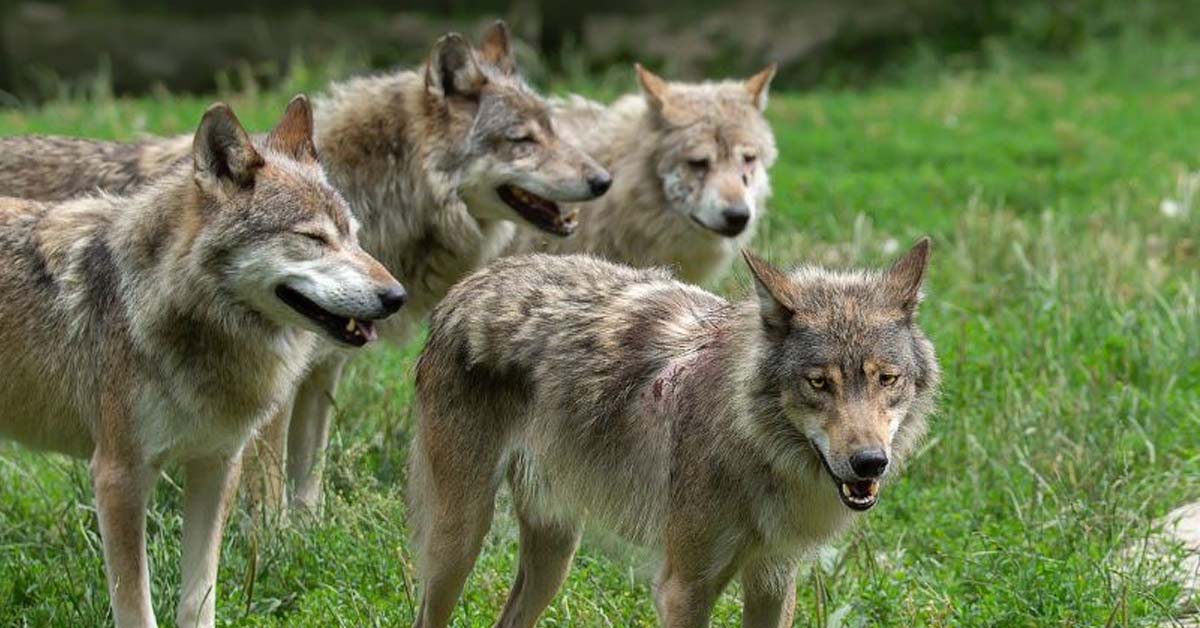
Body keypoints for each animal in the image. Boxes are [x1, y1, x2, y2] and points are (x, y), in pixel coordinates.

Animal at [0, 21, 611, 513]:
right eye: (522, 141)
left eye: (553, 129)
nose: (603, 179)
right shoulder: (272, 391)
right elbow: (268, 483)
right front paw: (268, 542)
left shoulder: (319, 373)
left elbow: (307, 476)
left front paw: (304, 534)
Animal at [0, 96, 404, 628]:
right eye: (313, 238)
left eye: (355, 237)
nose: (397, 296)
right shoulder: (118, 476)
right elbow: (137, 607)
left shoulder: (217, 465)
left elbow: (199, 597)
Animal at [409, 240, 940, 627]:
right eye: (819, 382)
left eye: (886, 378)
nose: (870, 462)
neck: (752, 445)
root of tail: (472, 283)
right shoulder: (684, 589)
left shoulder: (772, 579)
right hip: (459, 542)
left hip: (554, 552)